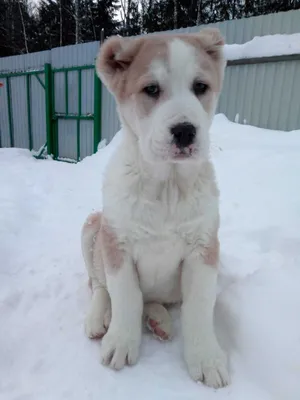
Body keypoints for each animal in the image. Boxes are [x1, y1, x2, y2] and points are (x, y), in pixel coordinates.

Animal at [81, 27, 229, 388]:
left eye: (200, 87)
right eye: (151, 89)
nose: (185, 131)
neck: (167, 187)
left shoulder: (204, 248)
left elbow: (199, 306)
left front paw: (206, 357)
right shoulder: (116, 243)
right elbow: (125, 296)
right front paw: (121, 342)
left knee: (151, 301)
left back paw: (159, 320)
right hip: (92, 226)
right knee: (99, 286)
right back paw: (98, 319)